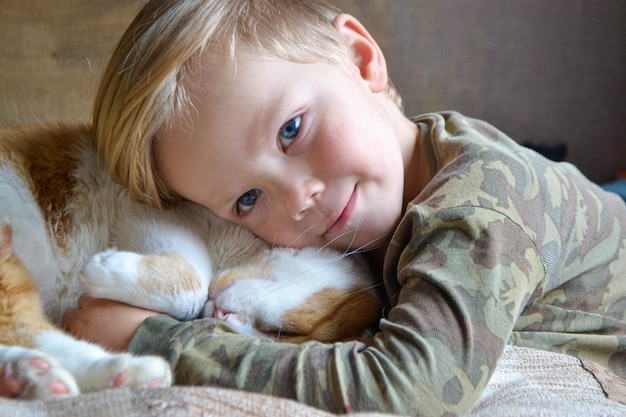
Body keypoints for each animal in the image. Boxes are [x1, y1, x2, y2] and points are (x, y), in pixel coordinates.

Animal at [0, 122, 380, 400]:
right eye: (283, 331)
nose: (222, 314)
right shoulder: (149, 206)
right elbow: (193, 288)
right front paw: (102, 268)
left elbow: (194, 292)